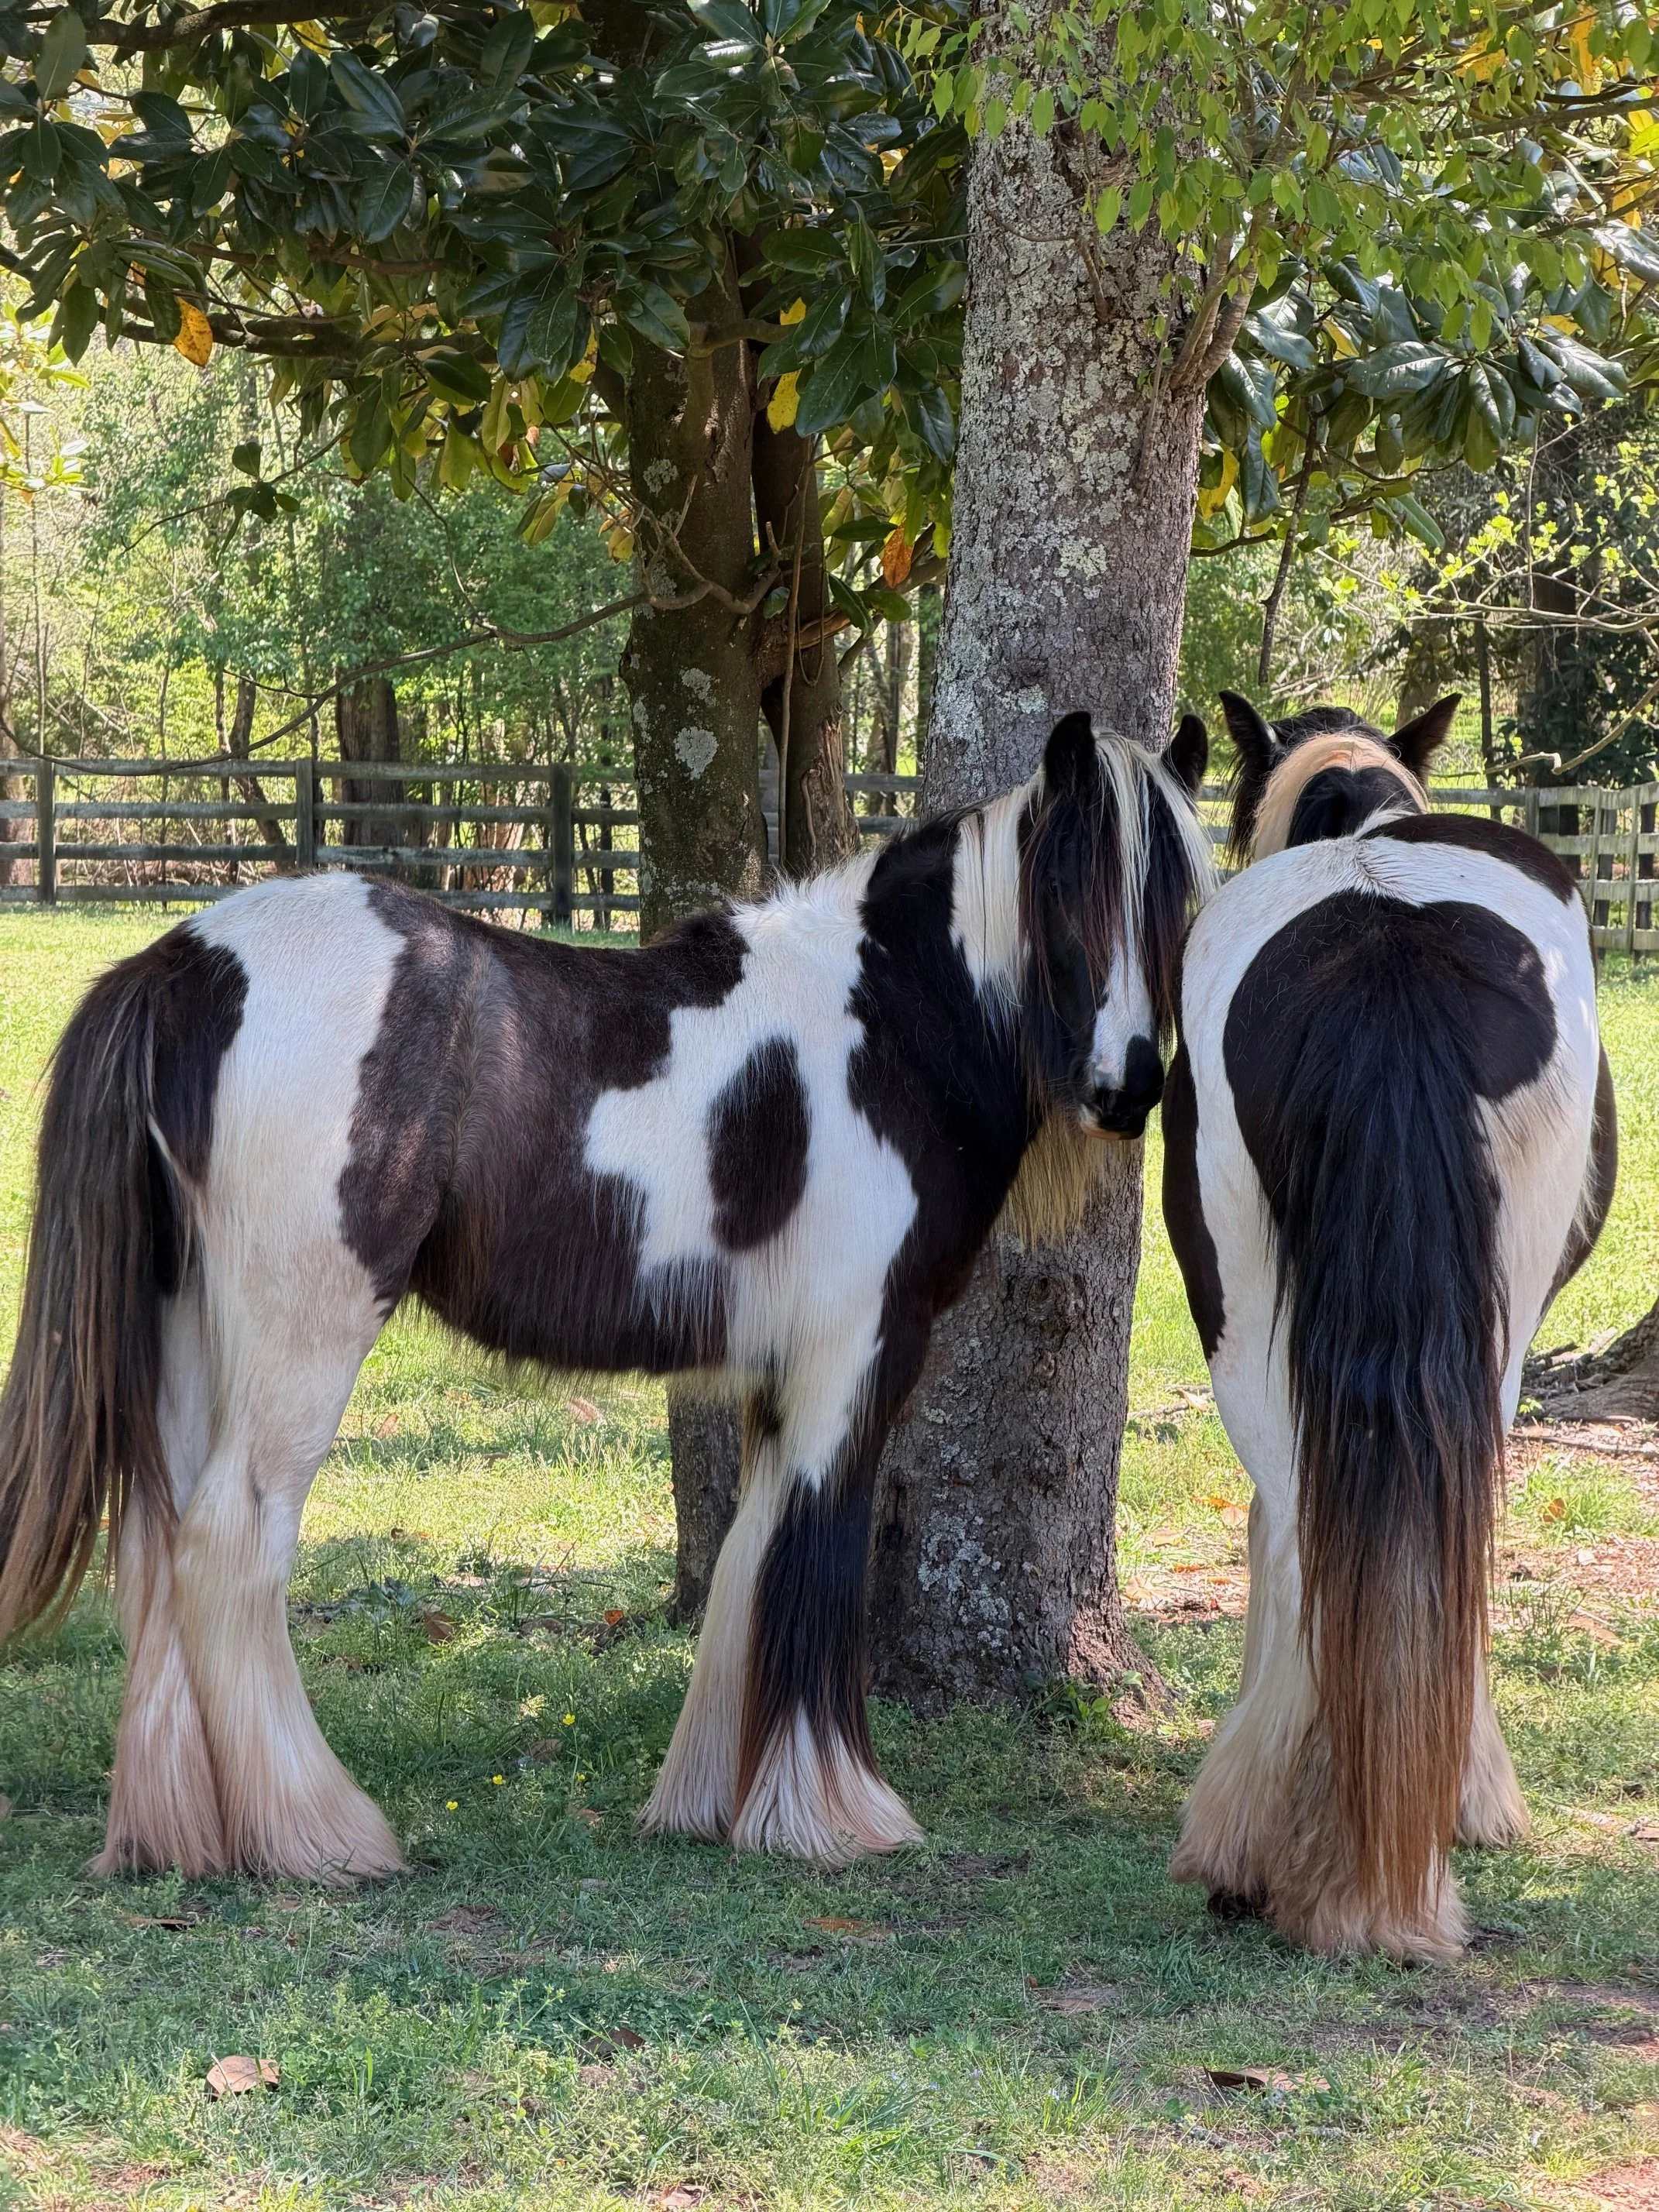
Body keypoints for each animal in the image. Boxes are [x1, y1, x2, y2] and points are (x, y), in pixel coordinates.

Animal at [0, 709, 1212, 1883]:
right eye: (1068, 893)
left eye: (1174, 905)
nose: (1128, 1086)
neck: (883, 1028)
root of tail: (184, 966)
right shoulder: (852, 1363)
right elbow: (816, 1562)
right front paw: (832, 1818)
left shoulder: (778, 1381)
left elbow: (749, 1565)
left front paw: (712, 1806)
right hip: (302, 1339)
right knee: (229, 1543)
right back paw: (317, 1838)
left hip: (188, 1340)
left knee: (155, 1549)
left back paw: (175, 1840)